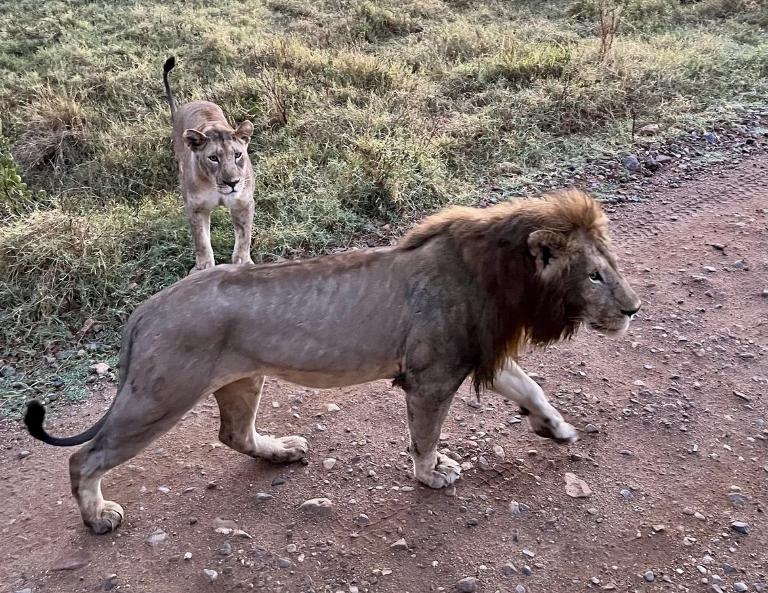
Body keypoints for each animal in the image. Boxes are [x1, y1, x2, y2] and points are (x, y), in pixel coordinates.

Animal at [24, 191, 640, 536]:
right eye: (594, 275)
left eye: (609, 268)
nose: (634, 309)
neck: (501, 275)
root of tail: (144, 311)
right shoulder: (431, 375)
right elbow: (425, 437)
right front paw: (432, 475)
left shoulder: (467, 353)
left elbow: (530, 386)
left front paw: (556, 428)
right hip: (159, 397)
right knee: (84, 458)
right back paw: (98, 518)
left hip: (241, 380)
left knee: (233, 434)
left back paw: (281, 450)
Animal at [164, 55, 256, 272]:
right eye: (213, 158)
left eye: (237, 155)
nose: (232, 183)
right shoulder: (196, 208)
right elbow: (201, 241)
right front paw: (204, 268)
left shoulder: (243, 203)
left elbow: (244, 237)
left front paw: (243, 263)